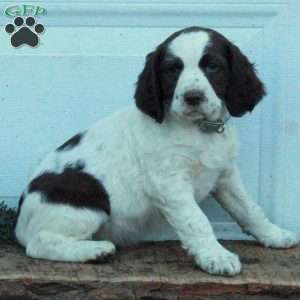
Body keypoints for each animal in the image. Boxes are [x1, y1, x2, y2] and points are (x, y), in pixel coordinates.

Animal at [14, 26, 298, 276]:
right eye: (172, 70)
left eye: (213, 67)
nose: (193, 97)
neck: (199, 130)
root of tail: (20, 220)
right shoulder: (169, 183)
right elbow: (197, 220)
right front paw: (216, 257)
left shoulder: (225, 175)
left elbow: (249, 209)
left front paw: (274, 235)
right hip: (87, 200)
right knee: (38, 243)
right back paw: (95, 251)